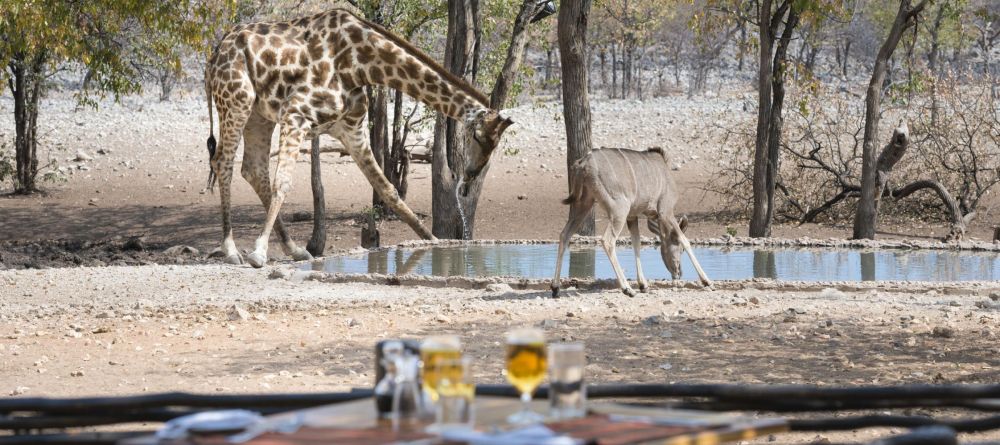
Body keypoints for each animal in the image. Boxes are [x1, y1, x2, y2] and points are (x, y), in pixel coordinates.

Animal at [206, 6, 512, 268]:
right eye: (478, 136)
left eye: (495, 145)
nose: (470, 175)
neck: (362, 64)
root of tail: (213, 57)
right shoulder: (296, 114)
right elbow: (282, 182)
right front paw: (258, 252)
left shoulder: (352, 130)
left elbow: (388, 190)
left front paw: (434, 241)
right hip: (237, 101)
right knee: (224, 163)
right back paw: (232, 250)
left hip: (260, 115)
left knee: (253, 169)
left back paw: (295, 249)